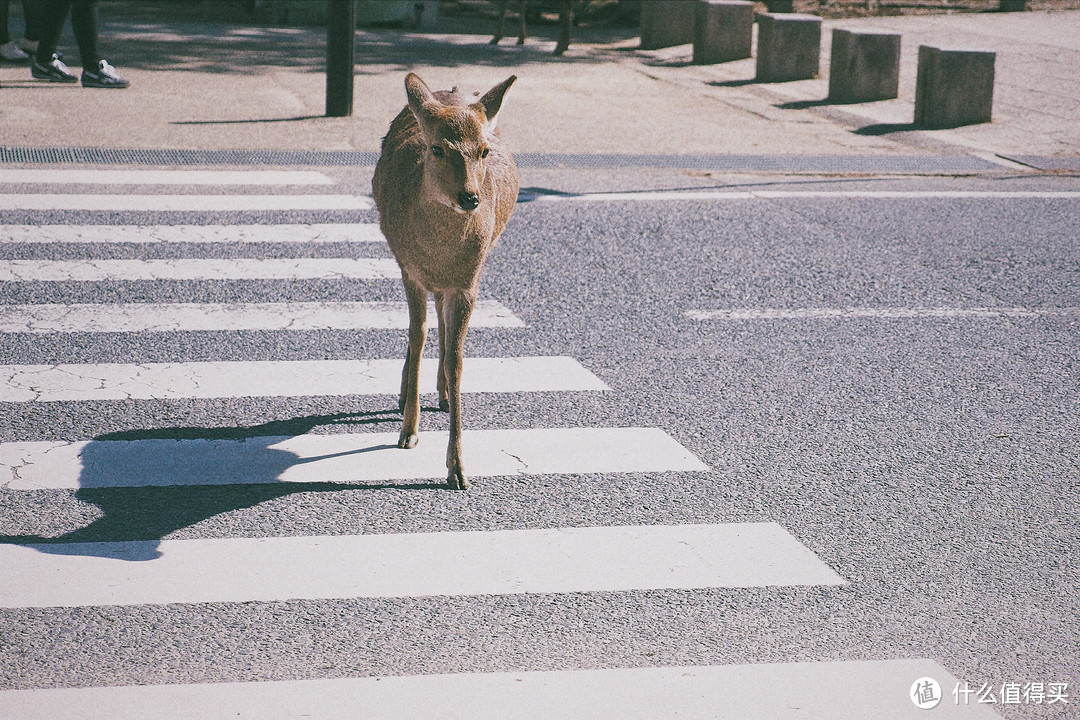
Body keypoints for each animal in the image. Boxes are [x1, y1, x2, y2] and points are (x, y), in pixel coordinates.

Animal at [373, 74, 520, 490]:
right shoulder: (411, 271)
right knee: (420, 330)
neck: (439, 253)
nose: (470, 198)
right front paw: (408, 432)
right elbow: (417, 335)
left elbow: (457, 360)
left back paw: (439, 394)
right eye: (437, 148)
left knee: (440, 319)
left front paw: (458, 469)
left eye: (484, 151)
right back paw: (406, 394)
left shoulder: (468, 282)